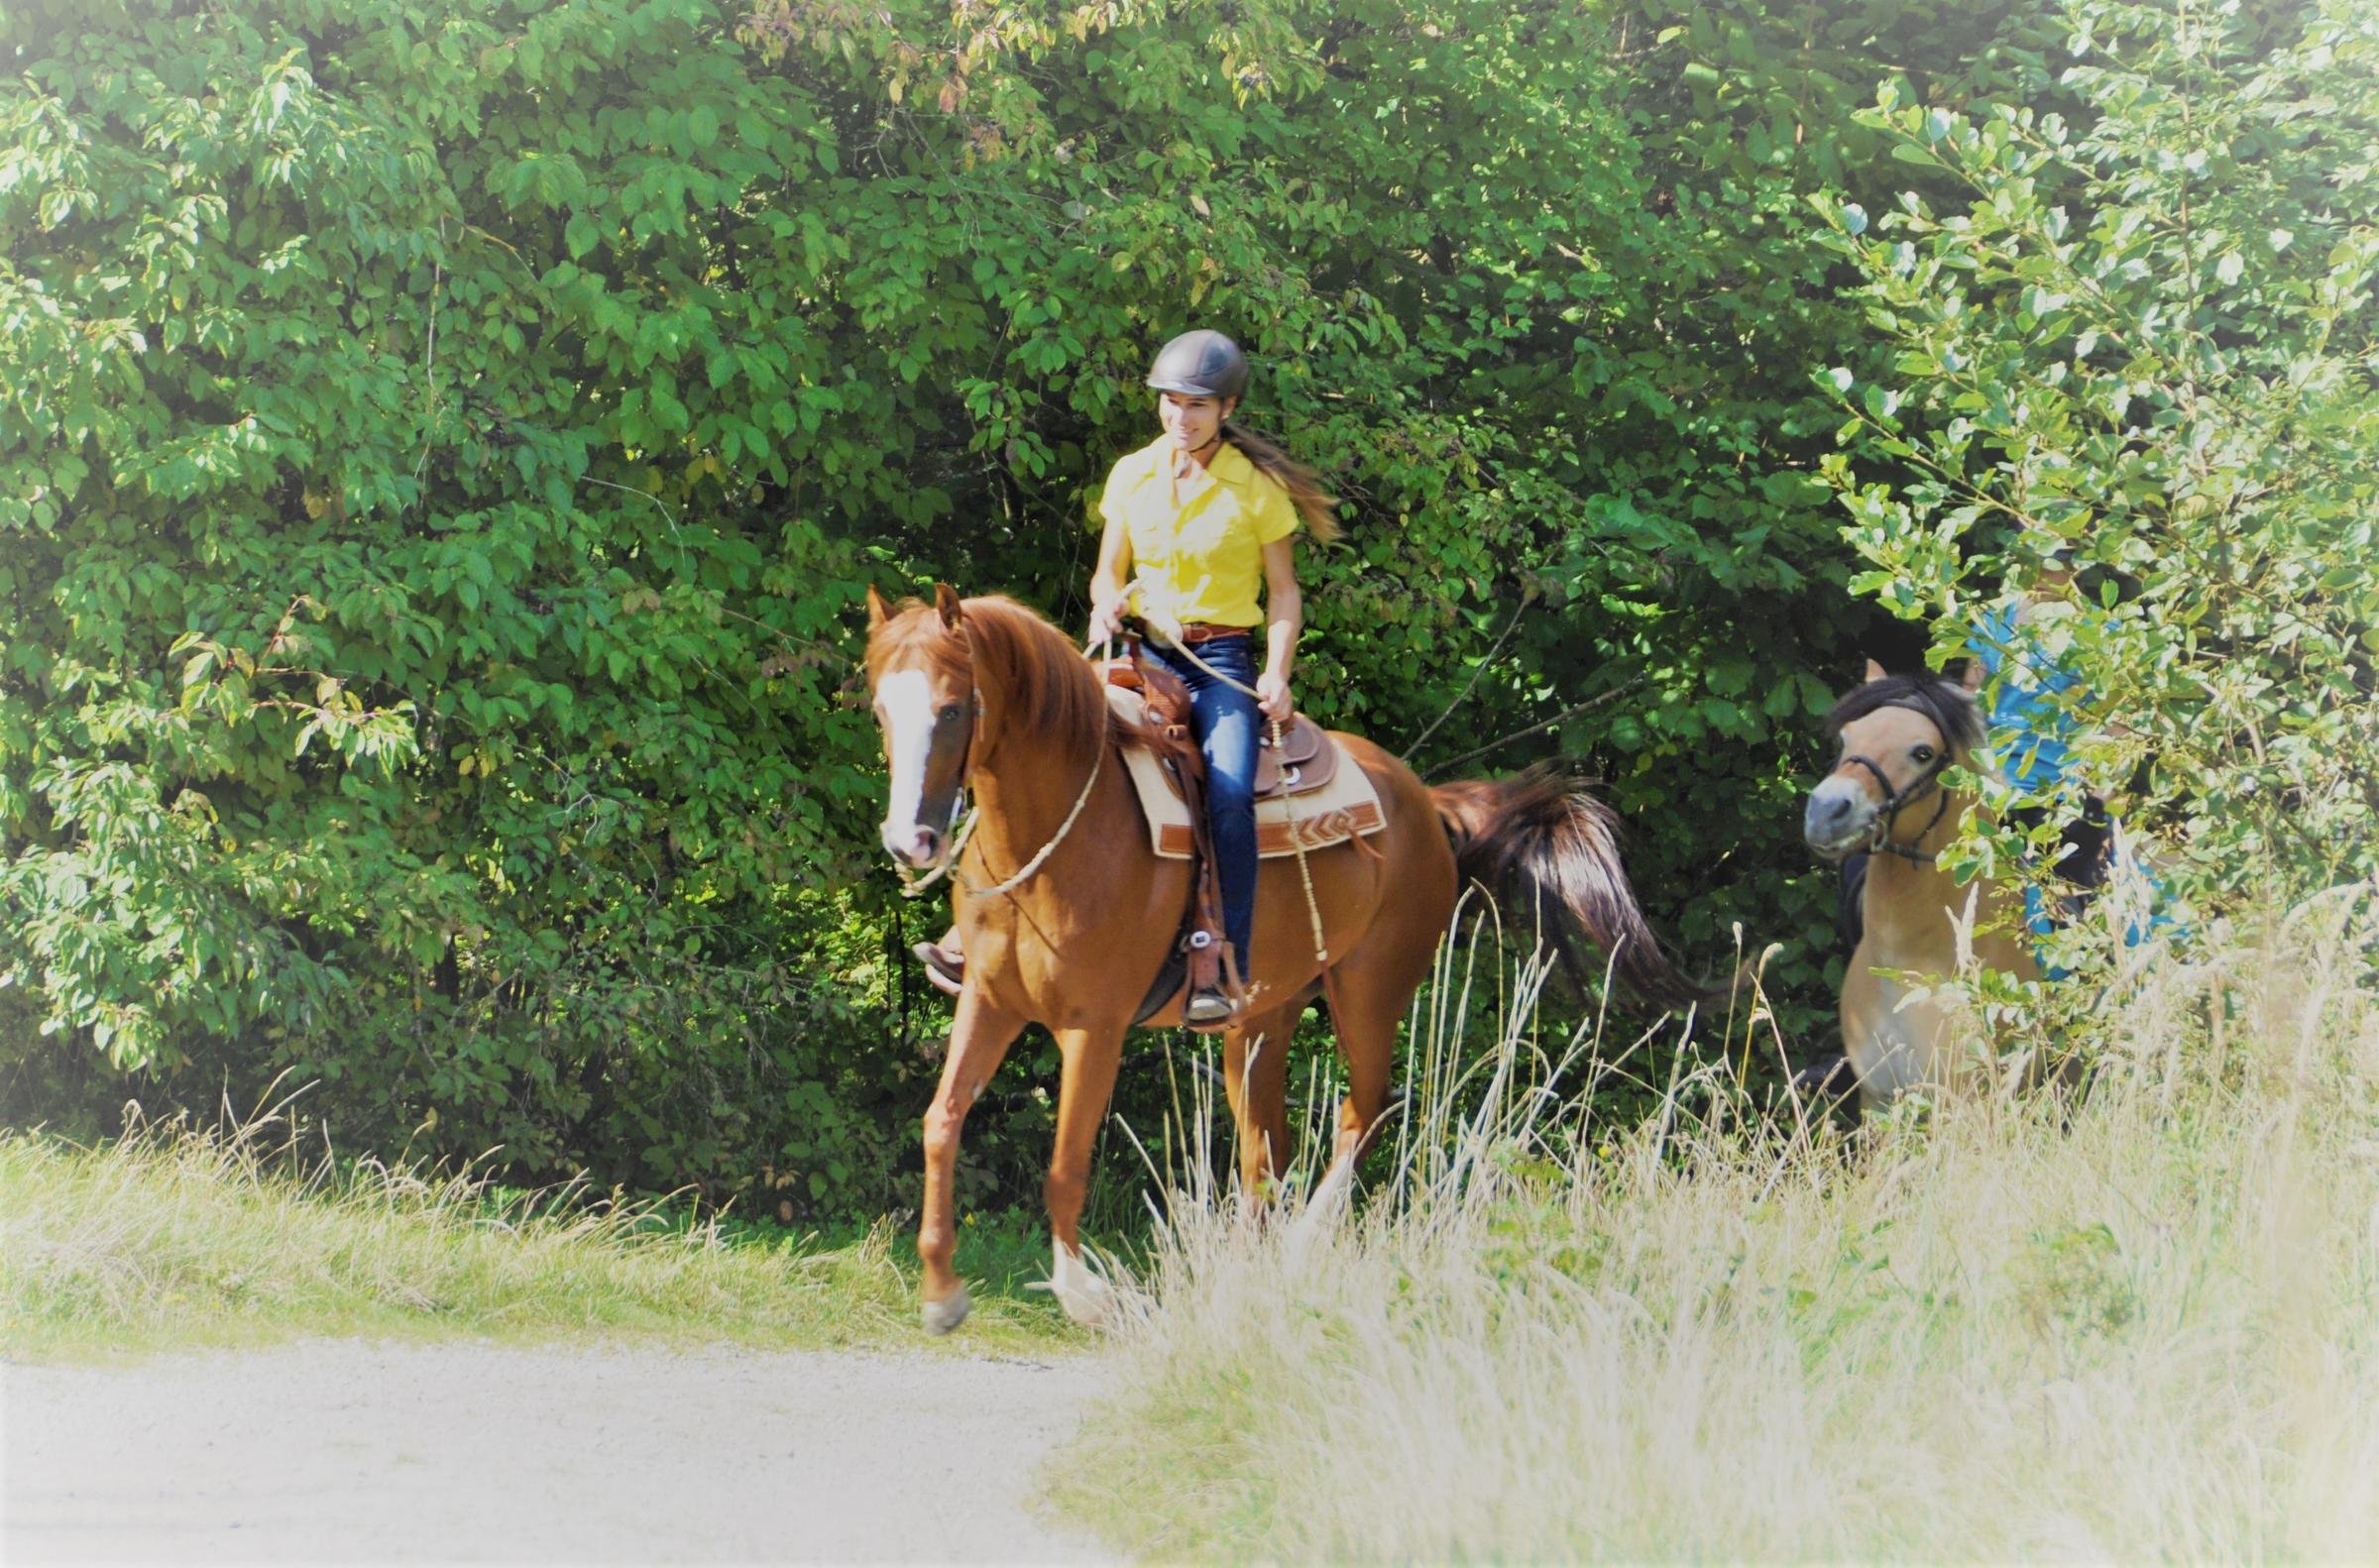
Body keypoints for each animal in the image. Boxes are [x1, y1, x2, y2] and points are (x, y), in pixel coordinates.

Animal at [864, 585, 1694, 1333]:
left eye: (952, 709)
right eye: (880, 711)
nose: (912, 843)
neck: (1057, 831)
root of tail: (1425, 806)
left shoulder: (1092, 1027)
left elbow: (1067, 1165)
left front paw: (1084, 1296)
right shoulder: (991, 1002)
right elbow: (941, 1122)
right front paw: (942, 1292)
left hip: (1369, 992)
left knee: (1364, 1109)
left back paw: (1303, 1243)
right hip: (1263, 1016)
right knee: (1268, 1149)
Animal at [1802, 660, 2041, 1108]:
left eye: (1922, 753)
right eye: (1847, 738)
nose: (1825, 811)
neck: (1908, 964)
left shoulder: (1968, 1101)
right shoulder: (1878, 1098)